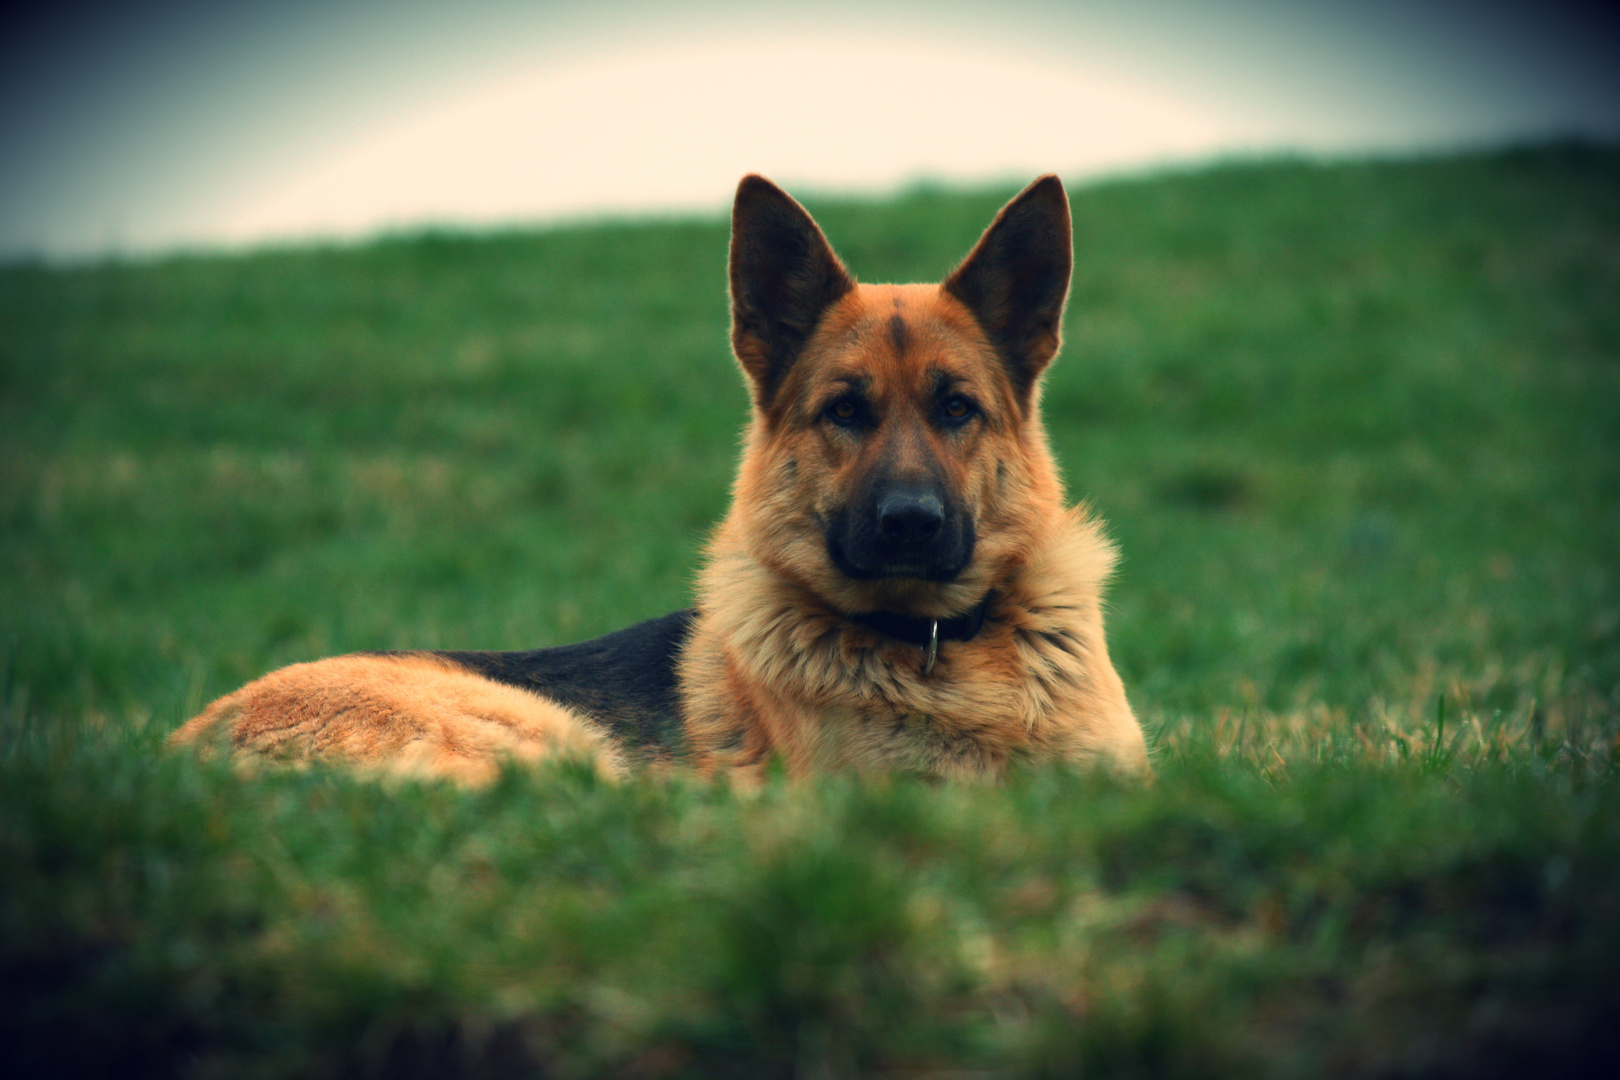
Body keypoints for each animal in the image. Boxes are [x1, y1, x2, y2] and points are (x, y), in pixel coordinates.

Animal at [170, 175, 1146, 786]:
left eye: (956, 409)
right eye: (844, 411)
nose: (910, 522)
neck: (946, 646)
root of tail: (175, 753)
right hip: (548, 741)